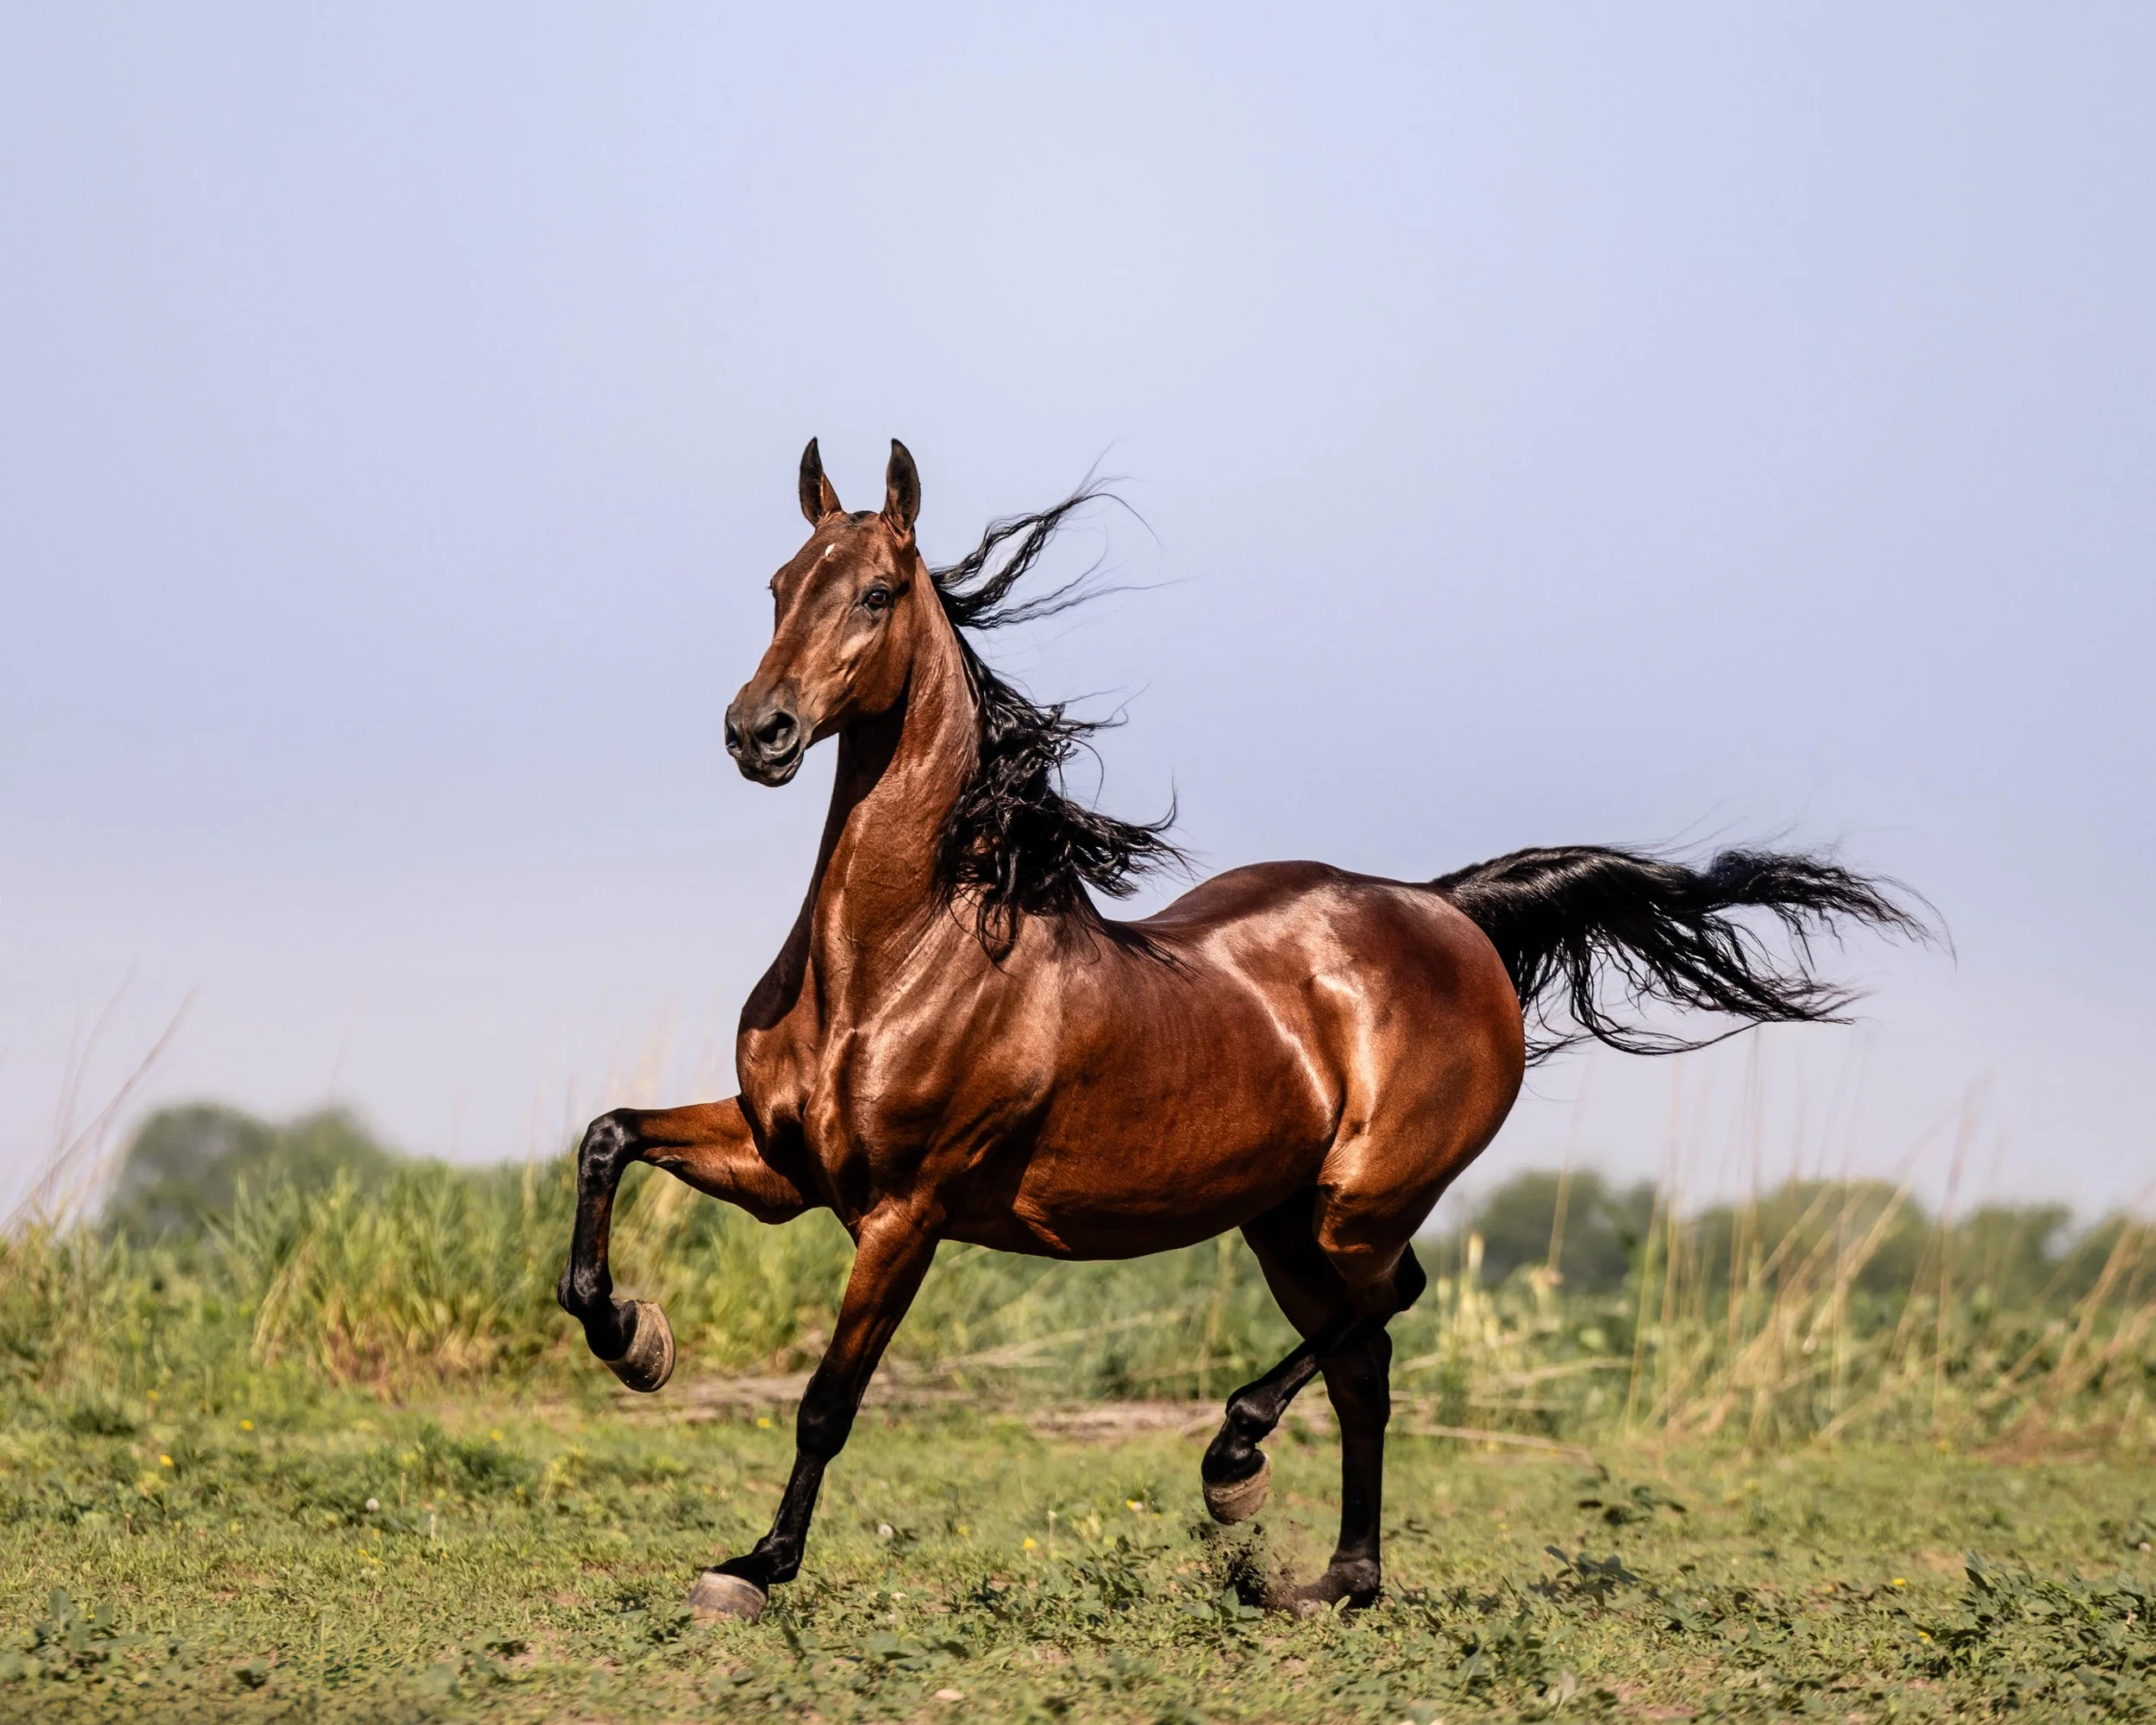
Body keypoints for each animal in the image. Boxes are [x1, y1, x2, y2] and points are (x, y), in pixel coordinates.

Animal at [557, 438, 1923, 1623]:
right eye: (780, 585)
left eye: (878, 594)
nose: (759, 731)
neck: (902, 957)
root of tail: (1447, 908)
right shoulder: (784, 1162)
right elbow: (607, 1137)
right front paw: (635, 1339)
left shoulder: (907, 1210)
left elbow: (828, 1401)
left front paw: (753, 1566)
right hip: (1281, 1217)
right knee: (1367, 1363)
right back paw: (1339, 1580)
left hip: (1360, 1200)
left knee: (1390, 1305)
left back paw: (1235, 1462)